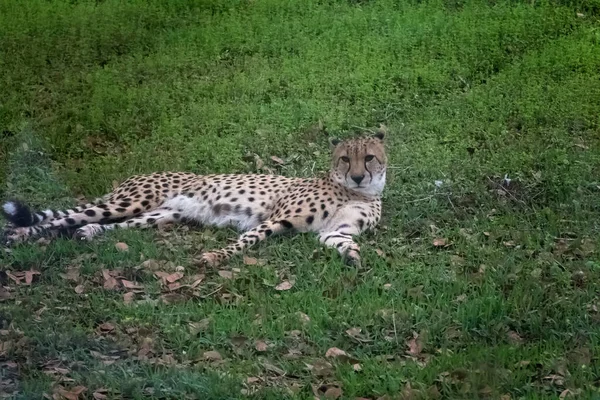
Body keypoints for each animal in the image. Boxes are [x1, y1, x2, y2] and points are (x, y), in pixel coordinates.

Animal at [2, 133, 386, 268]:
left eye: (368, 158)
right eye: (345, 159)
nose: (357, 175)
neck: (358, 192)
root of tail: (135, 176)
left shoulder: (333, 231)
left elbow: (341, 241)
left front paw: (352, 256)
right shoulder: (276, 218)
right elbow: (246, 240)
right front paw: (215, 257)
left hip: (159, 215)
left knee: (109, 225)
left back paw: (90, 233)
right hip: (131, 201)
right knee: (59, 220)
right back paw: (17, 235)